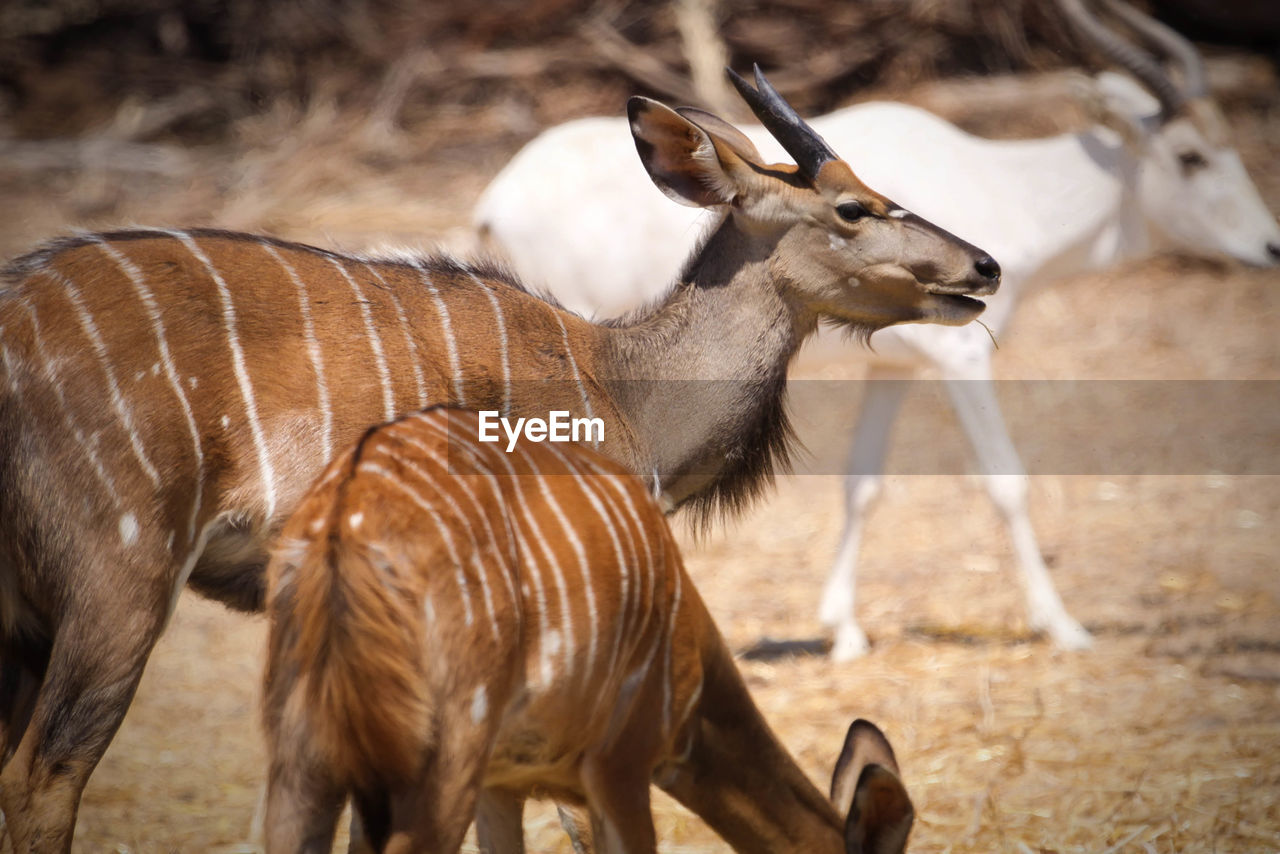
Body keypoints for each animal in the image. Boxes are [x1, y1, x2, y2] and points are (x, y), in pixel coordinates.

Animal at [476, 0, 1280, 665]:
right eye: (1191, 156)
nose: (1270, 247)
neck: (1006, 183)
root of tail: (497, 196)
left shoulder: (896, 367)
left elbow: (863, 483)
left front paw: (845, 631)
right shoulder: (960, 355)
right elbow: (1005, 479)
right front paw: (1065, 626)